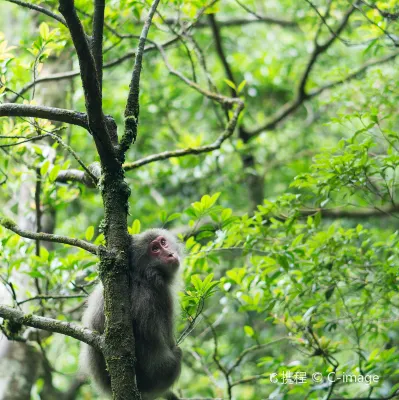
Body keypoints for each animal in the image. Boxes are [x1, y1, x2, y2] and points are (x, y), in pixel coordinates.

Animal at [81, 228, 184, 400]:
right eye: (154, 249)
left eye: (163, 242)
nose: (170, 254)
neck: (142, 275)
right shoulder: (158, 297)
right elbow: (158, 363)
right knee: (177, 352)